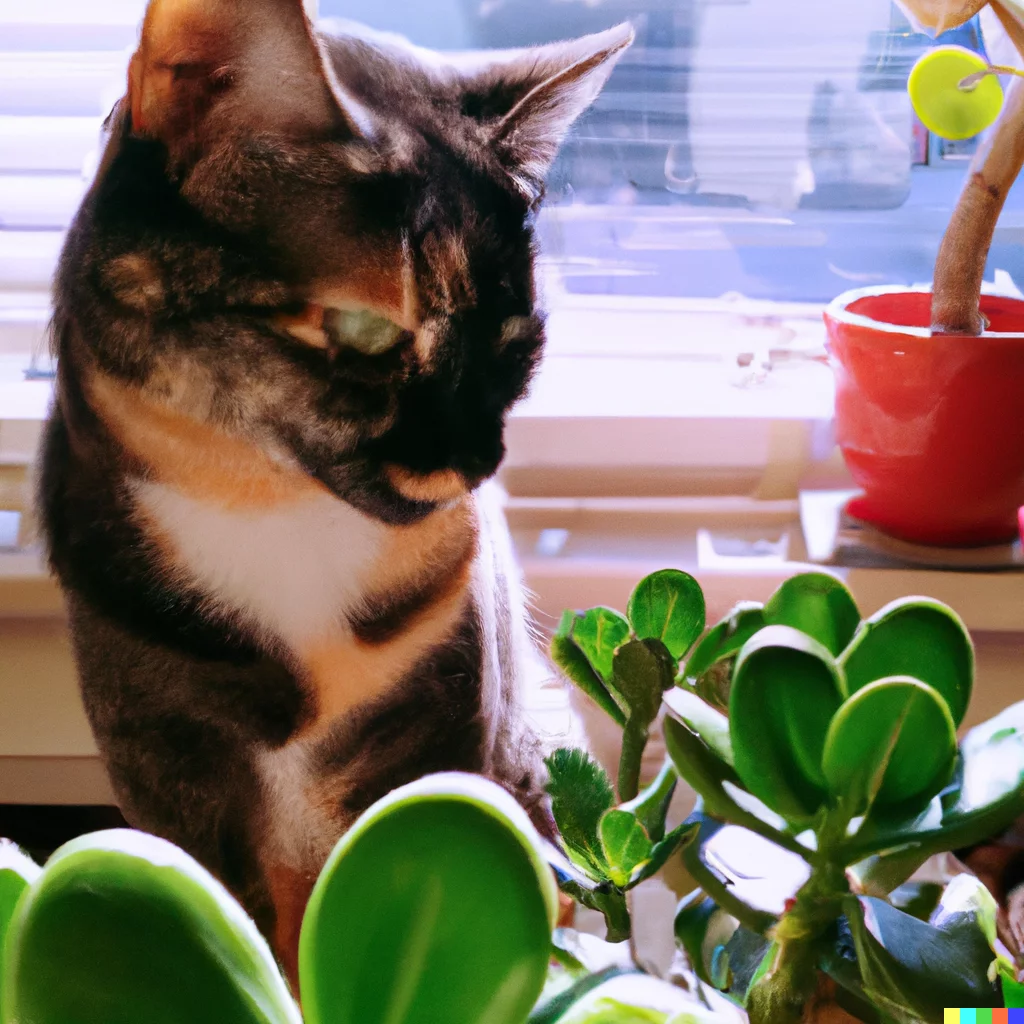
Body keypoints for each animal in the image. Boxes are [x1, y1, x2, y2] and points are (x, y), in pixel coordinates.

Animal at [37, 0, 630, 983]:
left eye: (517, 338)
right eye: (363, 331)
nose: (479, 459)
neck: (272, 513)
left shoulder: (441, 730)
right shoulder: (166, 762)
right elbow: (239, 928)